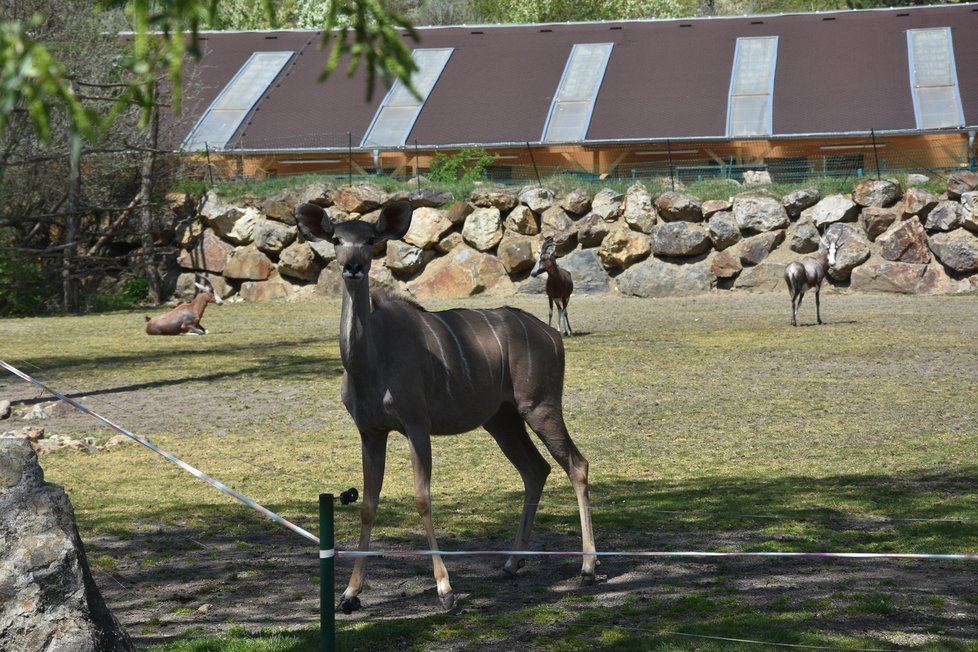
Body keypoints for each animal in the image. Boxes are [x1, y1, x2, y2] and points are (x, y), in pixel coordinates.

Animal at [292, 201, 596, 612]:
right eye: (337, 239)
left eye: (371, 239)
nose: (353, 266)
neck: (371, 361)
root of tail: (551, 335)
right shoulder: (370, 432)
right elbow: (368, 504)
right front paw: (350, 594)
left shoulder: (417, 425)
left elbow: (422, 498)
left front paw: (445, 589)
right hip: (501, 420)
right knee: (536, 470)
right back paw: (511, 564)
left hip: (540, 406)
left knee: (576, 465)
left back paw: (588, 568)